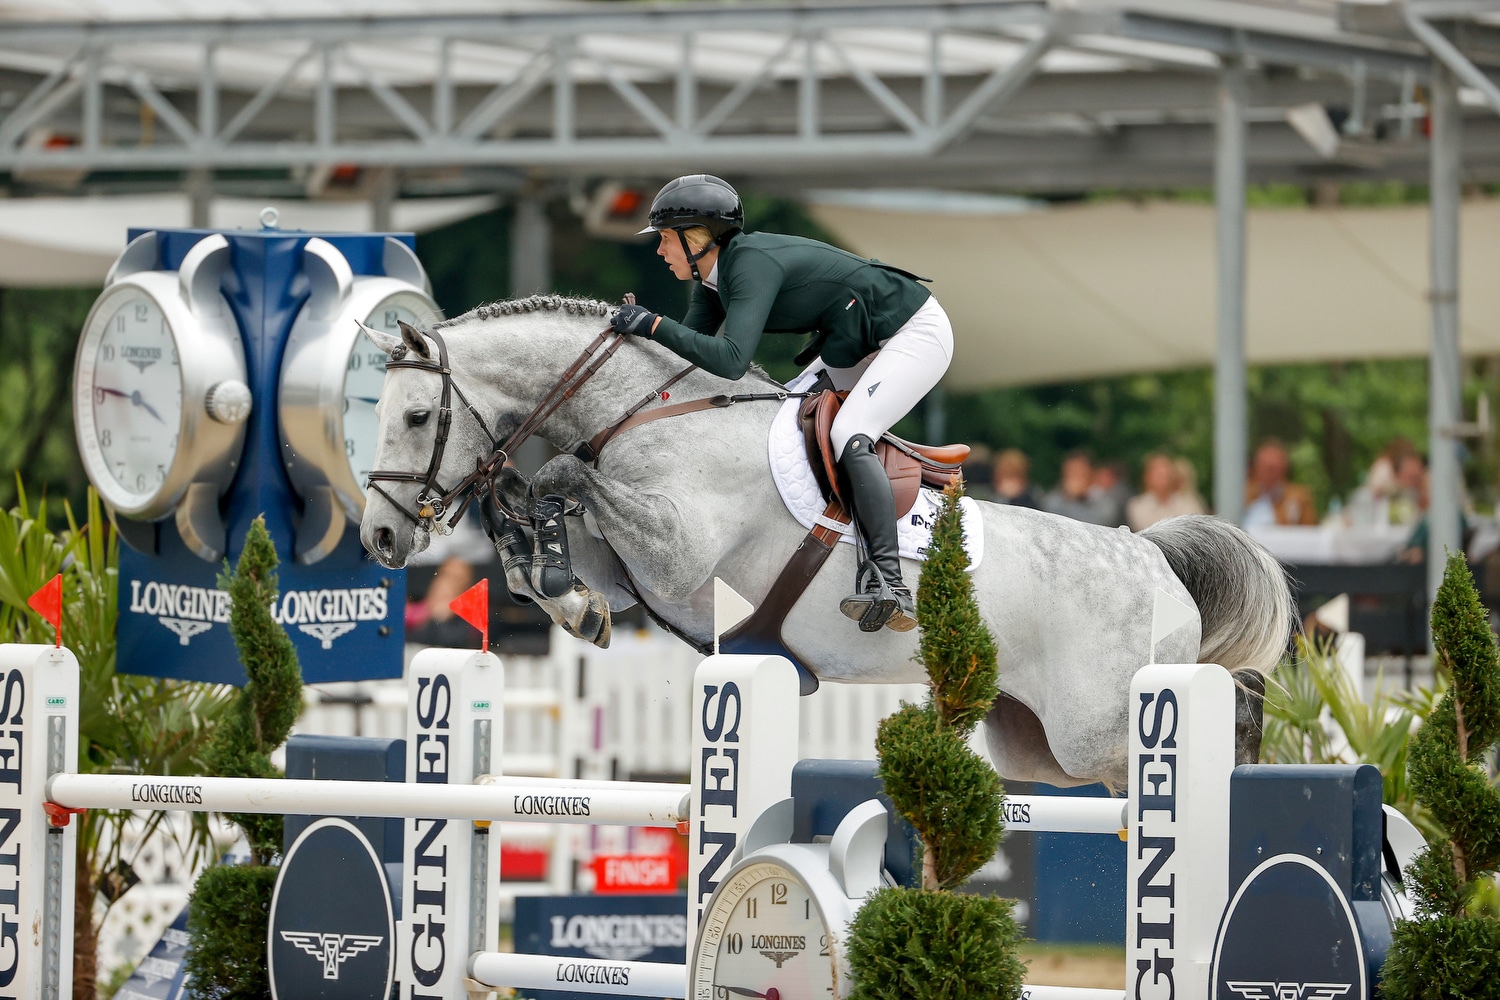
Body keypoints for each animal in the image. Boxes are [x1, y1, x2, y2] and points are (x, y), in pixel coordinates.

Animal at [357, 296, 1296, 791]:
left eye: (417, 416)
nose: (380, 536)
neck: (649, 411)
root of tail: (1152, 557)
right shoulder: (636, 572)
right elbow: (550, 531)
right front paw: (559, 590)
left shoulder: (676, 552)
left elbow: (560, 479)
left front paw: (546, 553)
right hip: (1041, 750)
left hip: (1099, 729)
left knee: (1216, 718)